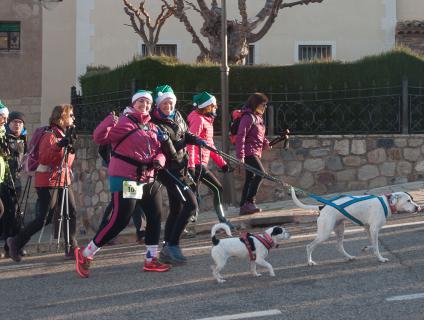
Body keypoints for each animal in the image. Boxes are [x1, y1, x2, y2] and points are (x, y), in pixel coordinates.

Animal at [292, 188, 420, 264]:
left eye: (412, 199)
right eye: (408, 201)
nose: (418, 207)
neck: (387, 203)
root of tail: (322, 207)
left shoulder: (368, 229)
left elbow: (374, 244)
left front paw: (367, 248)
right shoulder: (374, 229)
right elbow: (376, 246)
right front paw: (380, 258)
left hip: (340, 230)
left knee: (339, 246)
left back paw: (349, 257)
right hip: (325, 233)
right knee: (309, 246)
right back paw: (310, 262)